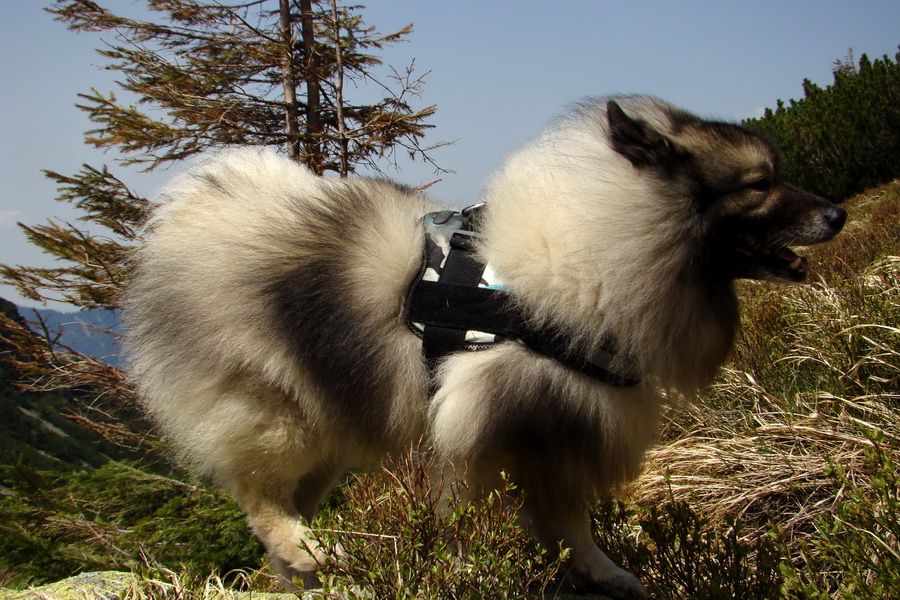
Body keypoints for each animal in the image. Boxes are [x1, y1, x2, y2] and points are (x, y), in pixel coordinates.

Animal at [125, 96, 844, 596]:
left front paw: (600, 574)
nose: (836, 214)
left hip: (328, 427)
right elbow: (507, 520)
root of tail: (192, 222)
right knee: (259, 498)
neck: (607, 251)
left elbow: (570, 525)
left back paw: (308, 571)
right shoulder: (510, 426)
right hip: (279, 419)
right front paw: (477, 569)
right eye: (759, 184)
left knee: (282, 504)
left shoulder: (559, 433)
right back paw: (307, 550)